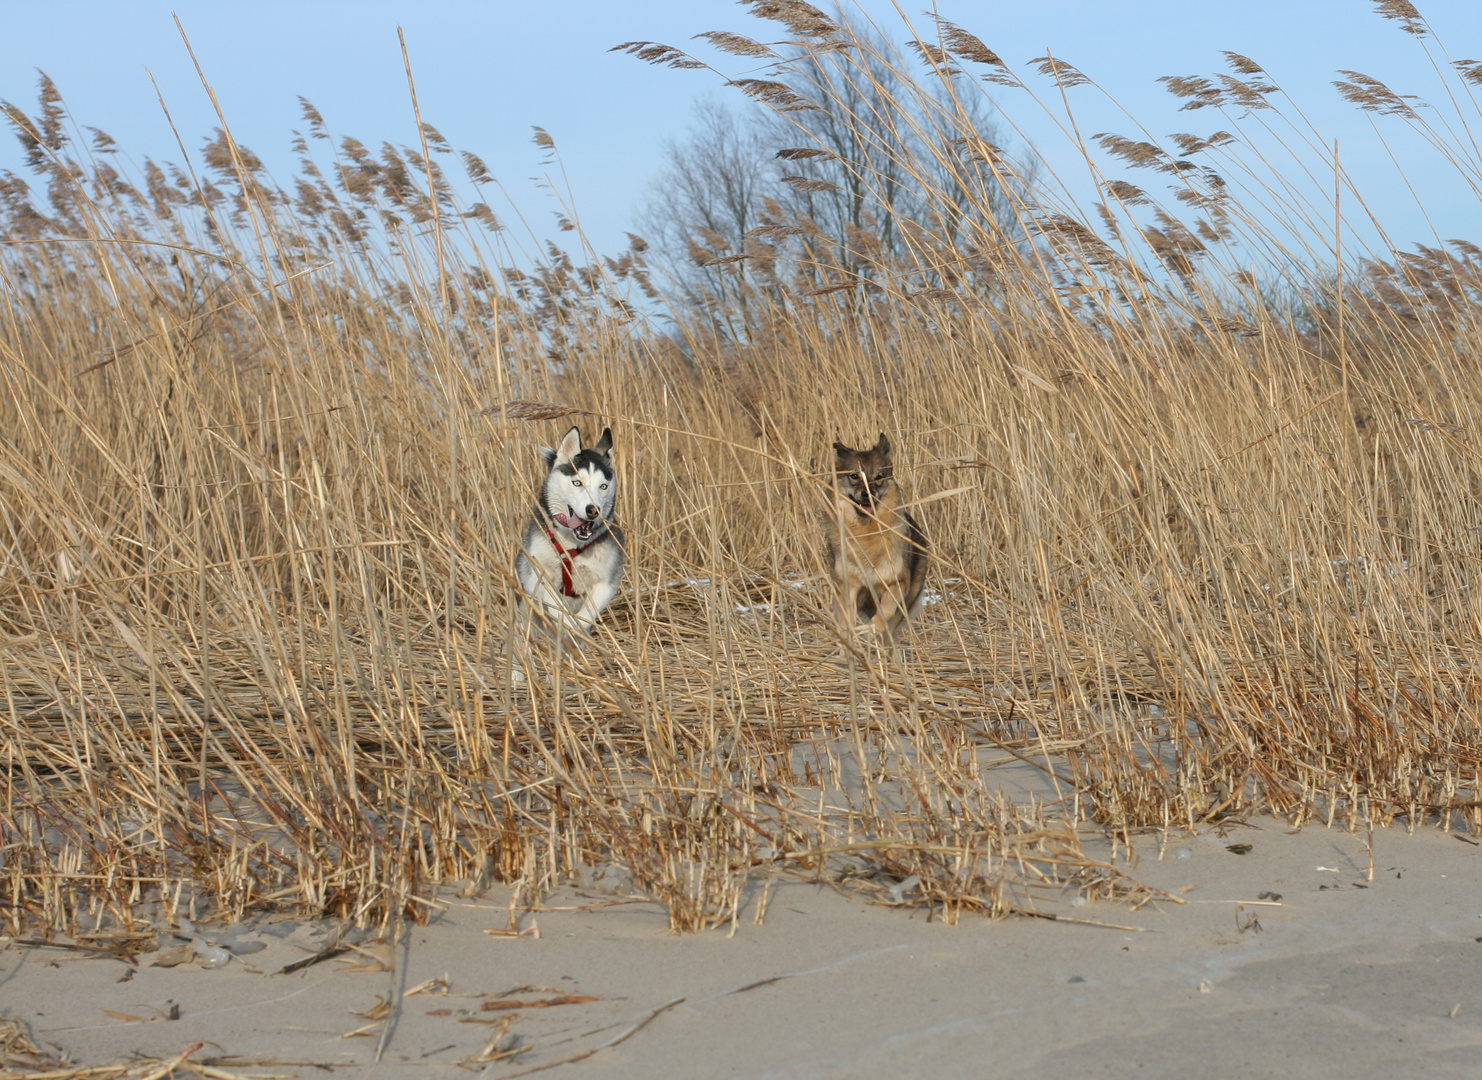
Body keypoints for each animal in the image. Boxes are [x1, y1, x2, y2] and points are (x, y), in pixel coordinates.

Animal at [515, 426, 625, 637]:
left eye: (603, 486)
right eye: (577, 483)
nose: (594, 510)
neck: (570, 546)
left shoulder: (608, 583)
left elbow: (586, 615)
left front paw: (573, 628)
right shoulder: (535, 574)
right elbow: (555, 604)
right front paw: (565, 622)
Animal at [823, 432, 924, 640]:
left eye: (878, 477)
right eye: (854, 476)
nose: (867, 494)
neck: (866, 531)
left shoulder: (897, 582)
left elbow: (886, 611)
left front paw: (873, 627)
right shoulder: (847, 585)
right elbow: (846, 617)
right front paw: (849, 635)